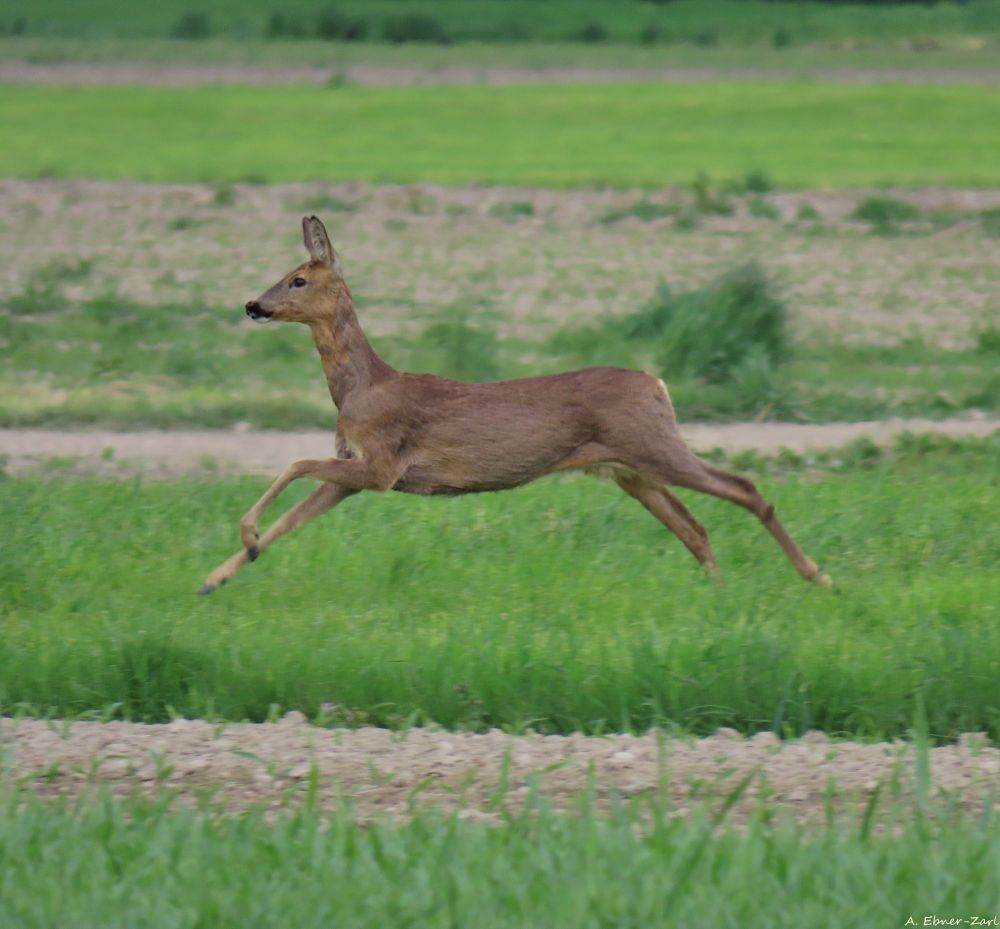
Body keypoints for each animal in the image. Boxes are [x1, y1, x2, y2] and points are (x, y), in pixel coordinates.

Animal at [198, 216, 832, 595]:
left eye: (297, 279)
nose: (253, 304)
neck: (363, 388)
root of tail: (658, 383)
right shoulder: (358, 472)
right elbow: (293, 517)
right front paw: (217, 575)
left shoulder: (382, 463)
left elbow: (293, 465)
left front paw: (244, 538)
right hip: (630, 468)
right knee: (695, 526)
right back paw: (719, 591)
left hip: (654, 445)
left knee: (744, 488)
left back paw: (817, 576)